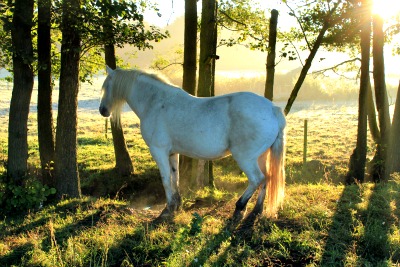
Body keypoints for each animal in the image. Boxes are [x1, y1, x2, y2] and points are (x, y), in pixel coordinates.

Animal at [100, 67, 288, 220]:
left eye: (106, 86)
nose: (103, 110)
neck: (156, 103)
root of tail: (272, 109)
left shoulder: (158, 150)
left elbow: (165, 179)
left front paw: (168, 209)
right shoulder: (172, 152)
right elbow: (175, 177)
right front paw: (176, 205)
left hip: (245, 158)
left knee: (257, 179)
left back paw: (240, 207)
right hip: (261, 156)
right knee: (267, 178)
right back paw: (257, 209)